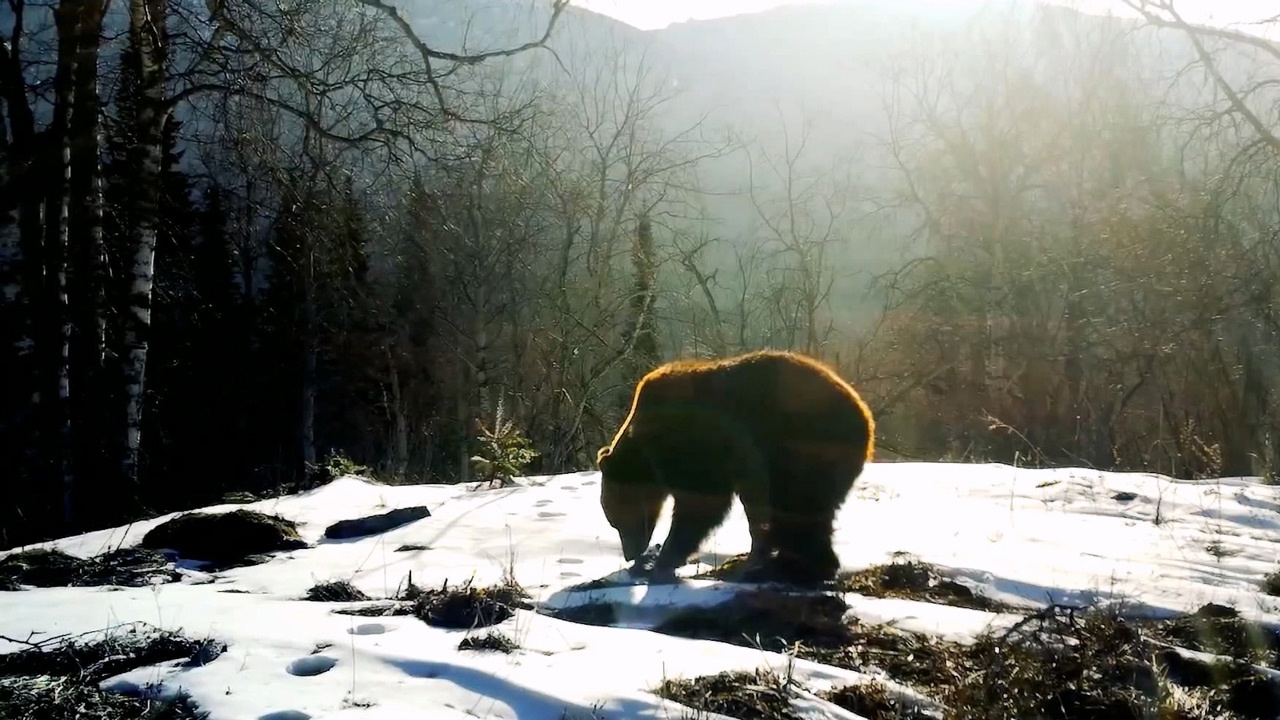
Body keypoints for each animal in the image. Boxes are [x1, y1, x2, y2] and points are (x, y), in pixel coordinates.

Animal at [593, 348, 875, 584]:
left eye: (616, 520)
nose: (630, 554)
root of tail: (865, 416)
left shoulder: (692, 442)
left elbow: (700, 502)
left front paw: (665, 559)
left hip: (805, 445)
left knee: (796, 505)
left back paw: (794, 566)